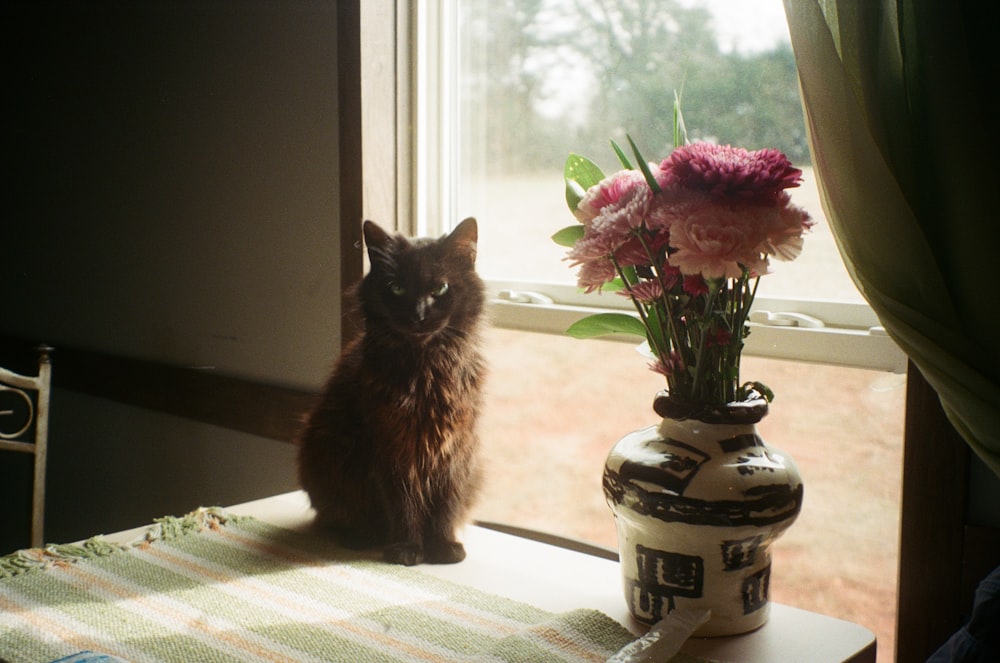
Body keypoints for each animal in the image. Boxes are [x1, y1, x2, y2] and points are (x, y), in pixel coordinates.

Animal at [294, 217, 486, 564]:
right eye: (396, 288)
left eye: (441, 288)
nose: (418, 315)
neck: (426, 371)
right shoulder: (392, 448)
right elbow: (404, 505)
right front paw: (407, 549)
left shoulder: (455, 449)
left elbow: (445, 504)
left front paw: (443, 546)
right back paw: (359, 537)